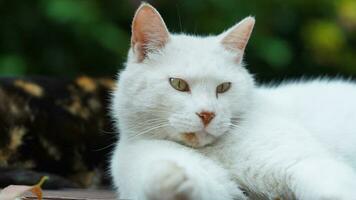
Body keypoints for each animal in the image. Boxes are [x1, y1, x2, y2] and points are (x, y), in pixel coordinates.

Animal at [110, 3, 356, 200]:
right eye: (178, 84)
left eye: (223, 87)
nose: (207, 114)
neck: (212, 152)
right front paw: (172, 180)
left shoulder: (306, 162)